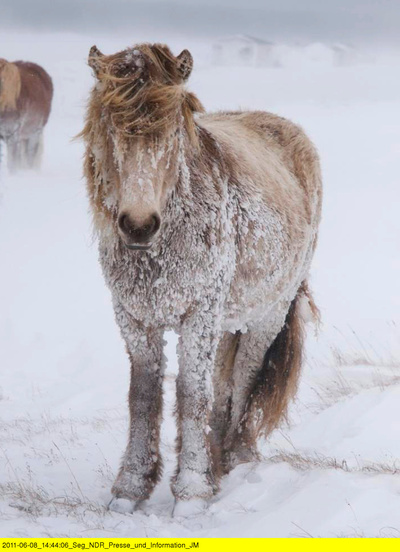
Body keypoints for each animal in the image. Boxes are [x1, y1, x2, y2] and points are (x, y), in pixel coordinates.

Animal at [80, 43, 322, 512]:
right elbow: (143, 395)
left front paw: (191, 493)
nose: (139, 225)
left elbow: (192, 392)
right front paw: (130, 490)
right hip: (229, 319)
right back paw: (217, 457)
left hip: (267, 312)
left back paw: (236, 457)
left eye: (175, 134)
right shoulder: (134, 319)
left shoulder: (198, 315)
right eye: (110, 129)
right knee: (224, 382)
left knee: (244, 376)